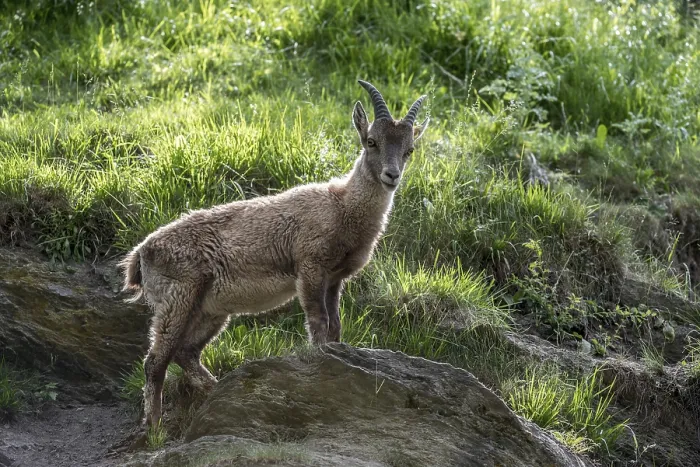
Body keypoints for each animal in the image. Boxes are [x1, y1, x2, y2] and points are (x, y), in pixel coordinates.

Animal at [119, 80, 429, 428]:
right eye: (371, 141)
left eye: (409, 150)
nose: (392, 175)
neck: (343, 207)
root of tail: (141, 254)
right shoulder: (310, 267)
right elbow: (319, 323)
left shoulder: (335, 278)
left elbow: (335, 326)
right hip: (178, 298)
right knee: (156, 360)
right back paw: (154, 425)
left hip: (209, 309)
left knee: (186, 352)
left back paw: (217, 390)